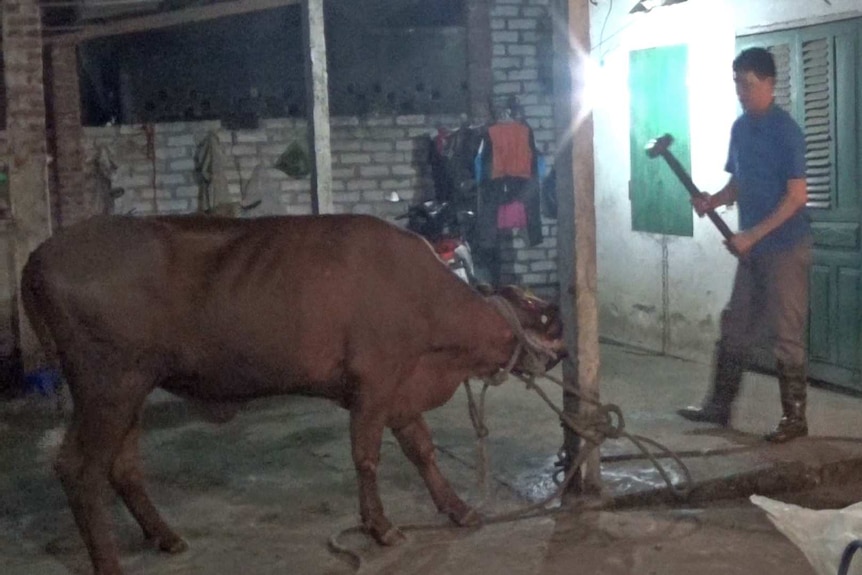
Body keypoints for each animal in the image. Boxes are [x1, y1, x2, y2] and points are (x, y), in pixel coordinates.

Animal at [22, 215, 568, 575]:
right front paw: (380, 526)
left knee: (123, 466)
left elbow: (422, 450)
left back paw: (166, 536)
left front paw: (458, 509)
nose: (562, 353)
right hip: (107, 387)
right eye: (546, 318)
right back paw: (110, 563)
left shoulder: (401, 388)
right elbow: (367, 457)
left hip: (131, 389)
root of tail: (39, 254)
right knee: (79, 469)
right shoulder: (375, 383)